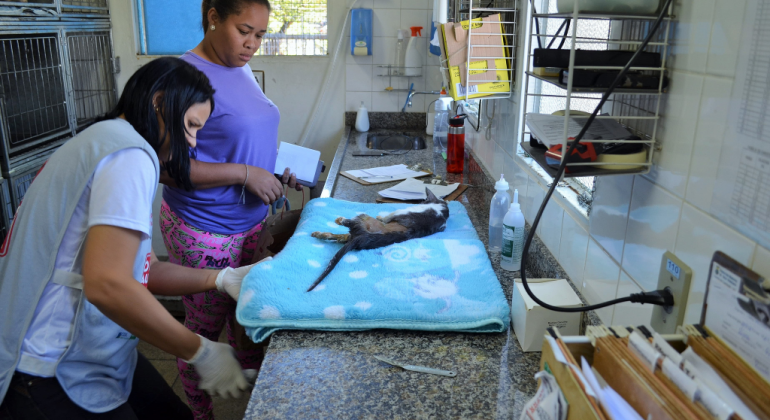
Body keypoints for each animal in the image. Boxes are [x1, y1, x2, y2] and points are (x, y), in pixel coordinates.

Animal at [308, 189, 450, 292]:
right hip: (353, 233)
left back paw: (340, 220)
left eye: (423, 201)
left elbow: (389, 216)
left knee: (349, 224)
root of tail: (360, 238)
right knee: (338, 236)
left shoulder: (402, 212)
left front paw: (381, 216)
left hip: (363, 219)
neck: (443, 213)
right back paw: (320, 234)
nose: (421, 203)